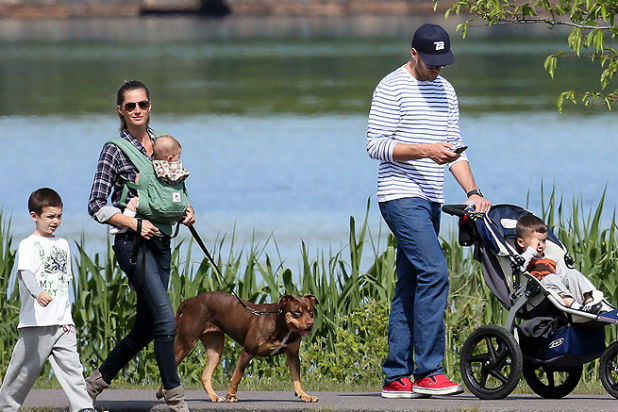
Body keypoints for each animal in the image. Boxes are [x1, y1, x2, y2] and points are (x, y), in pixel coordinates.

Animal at [156, 292, 318, 404]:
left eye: (311, 312)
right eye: (297, 312)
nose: (310, 324)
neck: (282, 324)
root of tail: (192, 300)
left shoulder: (292, 355)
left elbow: (297, 378)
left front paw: (305, 395)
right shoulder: (248, 351)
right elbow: (237, 376)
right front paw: (231, 396)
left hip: (215, 349)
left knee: (205, 375)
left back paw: (214, 397)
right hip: (185, 343)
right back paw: (162, 393)